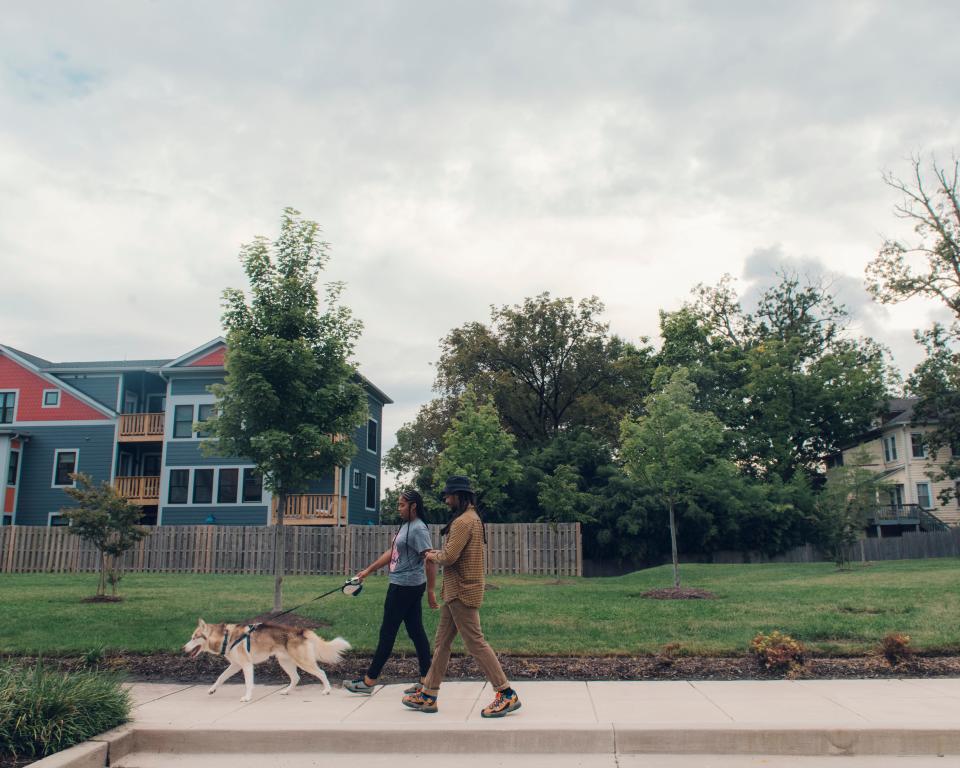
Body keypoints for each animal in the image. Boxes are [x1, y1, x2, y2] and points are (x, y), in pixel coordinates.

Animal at [182, 616, 350, 704]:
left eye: (194, 638)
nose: (183, 649)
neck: (225, 637)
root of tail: (301, 631)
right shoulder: (235, 665)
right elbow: (220, 677)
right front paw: (212, 689)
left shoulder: (246, 665)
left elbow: (248, 684)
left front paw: (247, 697)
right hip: (285, 662)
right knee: (296, 677)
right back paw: (287, 691)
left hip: (303, 662)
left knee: (321, 672)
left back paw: (327, 690)